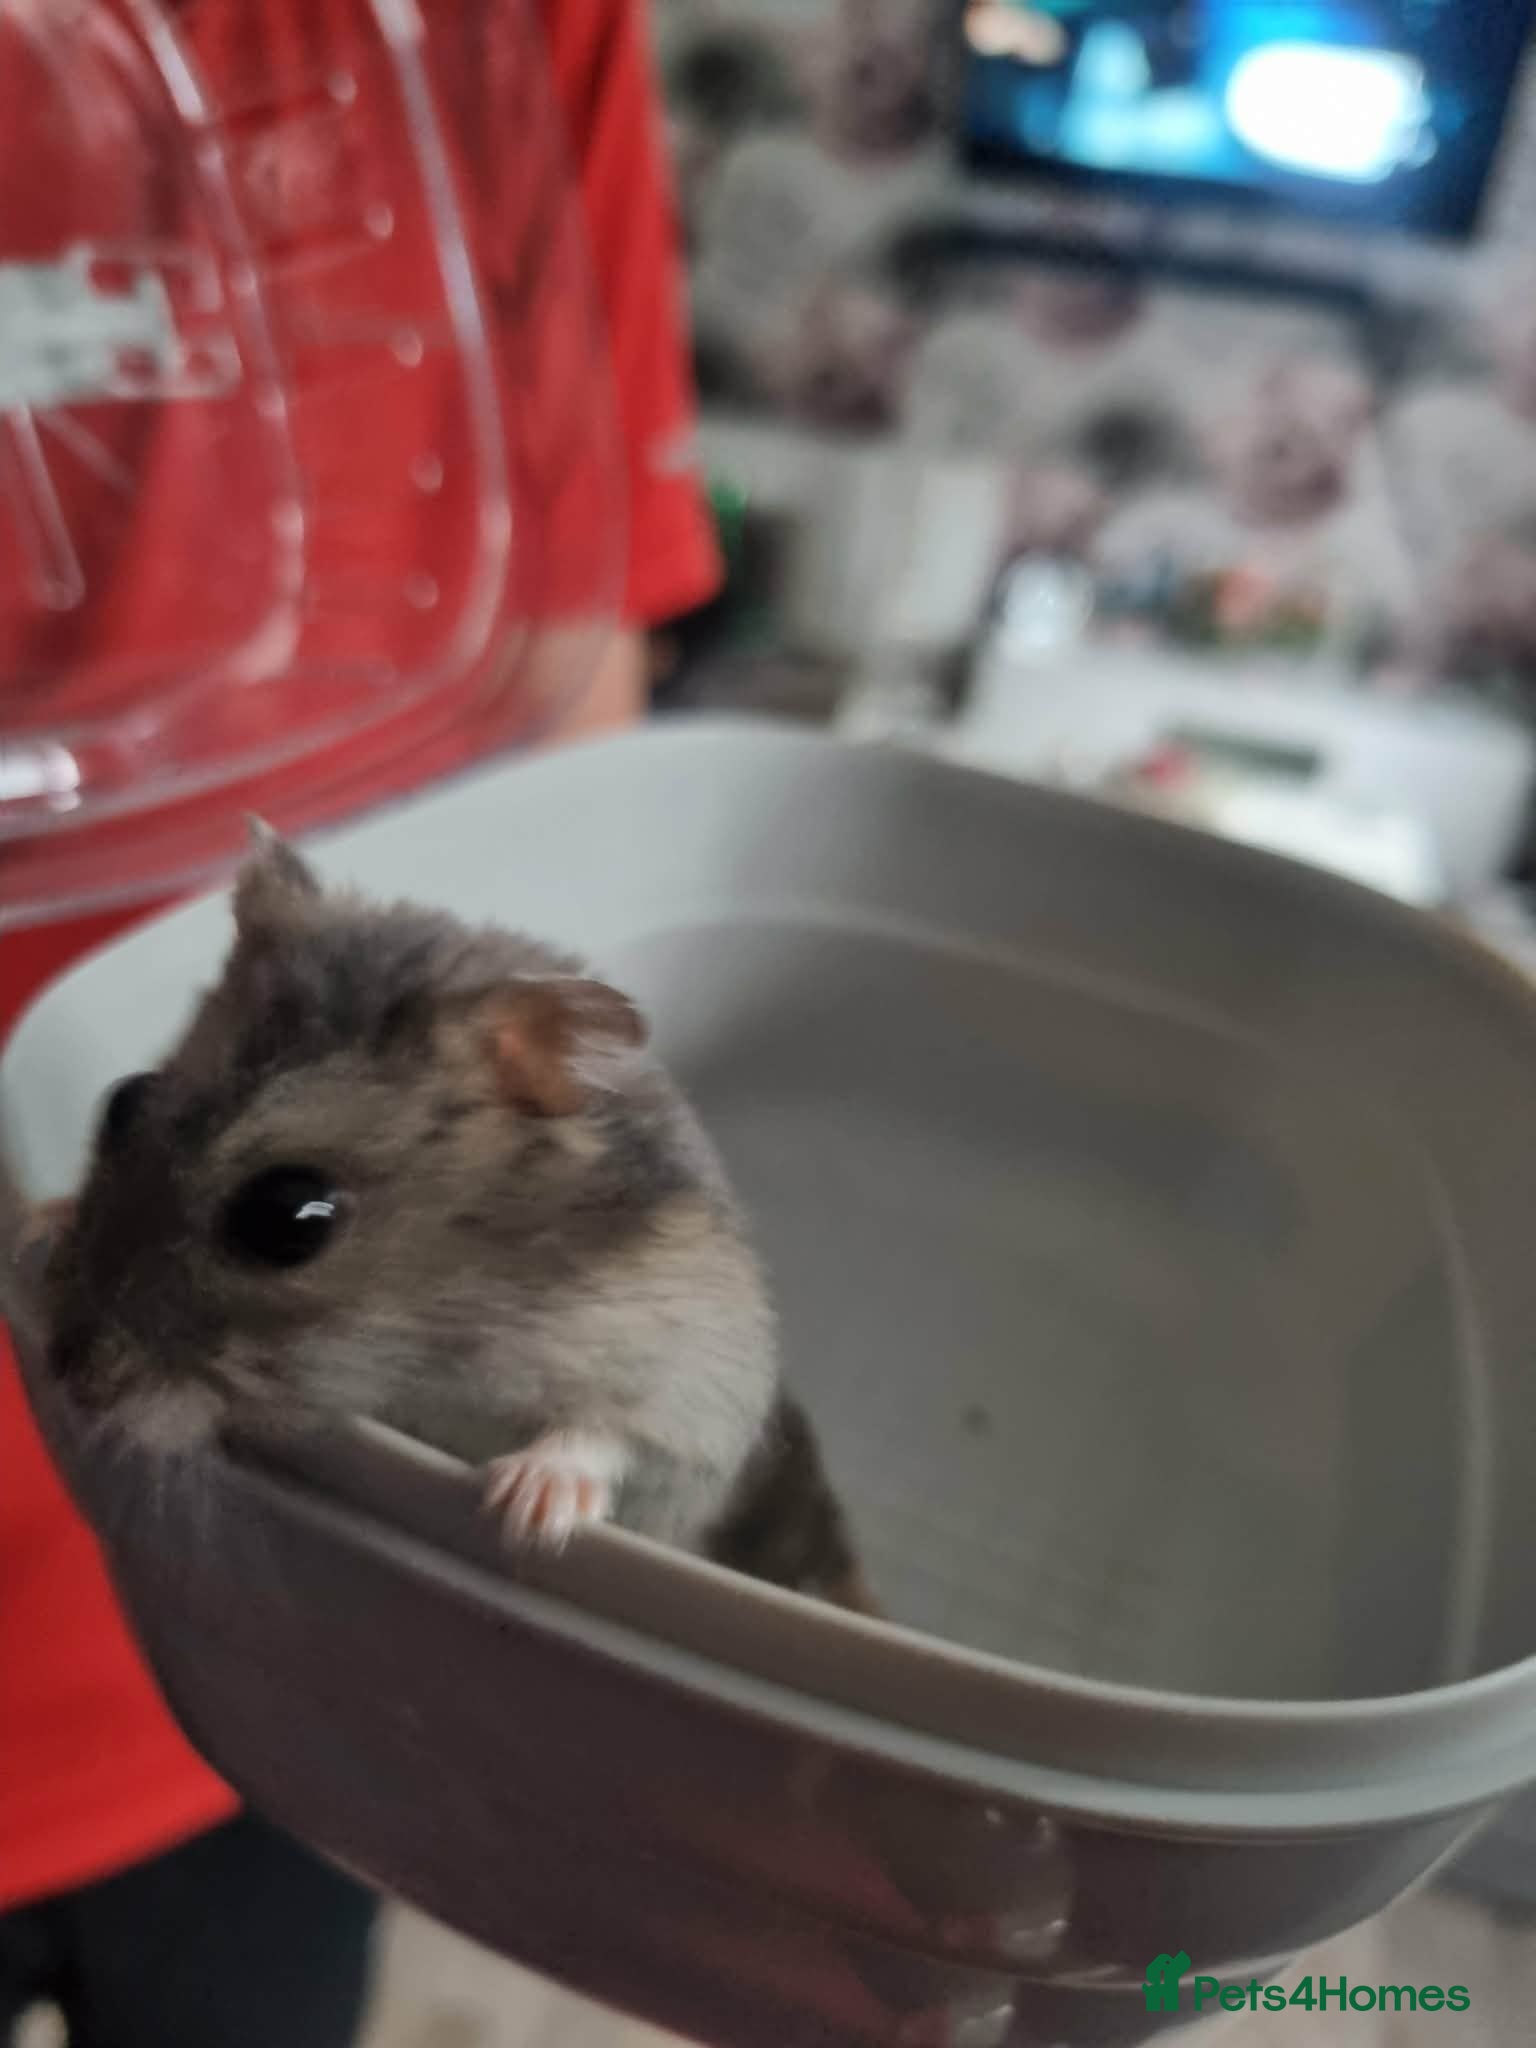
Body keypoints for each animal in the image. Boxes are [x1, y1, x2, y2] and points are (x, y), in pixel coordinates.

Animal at [39, 830, 875, 1611]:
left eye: (288, 1217)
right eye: (123, 1102)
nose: (66, 1379)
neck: (453, 1318)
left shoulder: (694, 1382)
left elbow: (609, 1433)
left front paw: (525, 1510)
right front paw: (42, 1220)